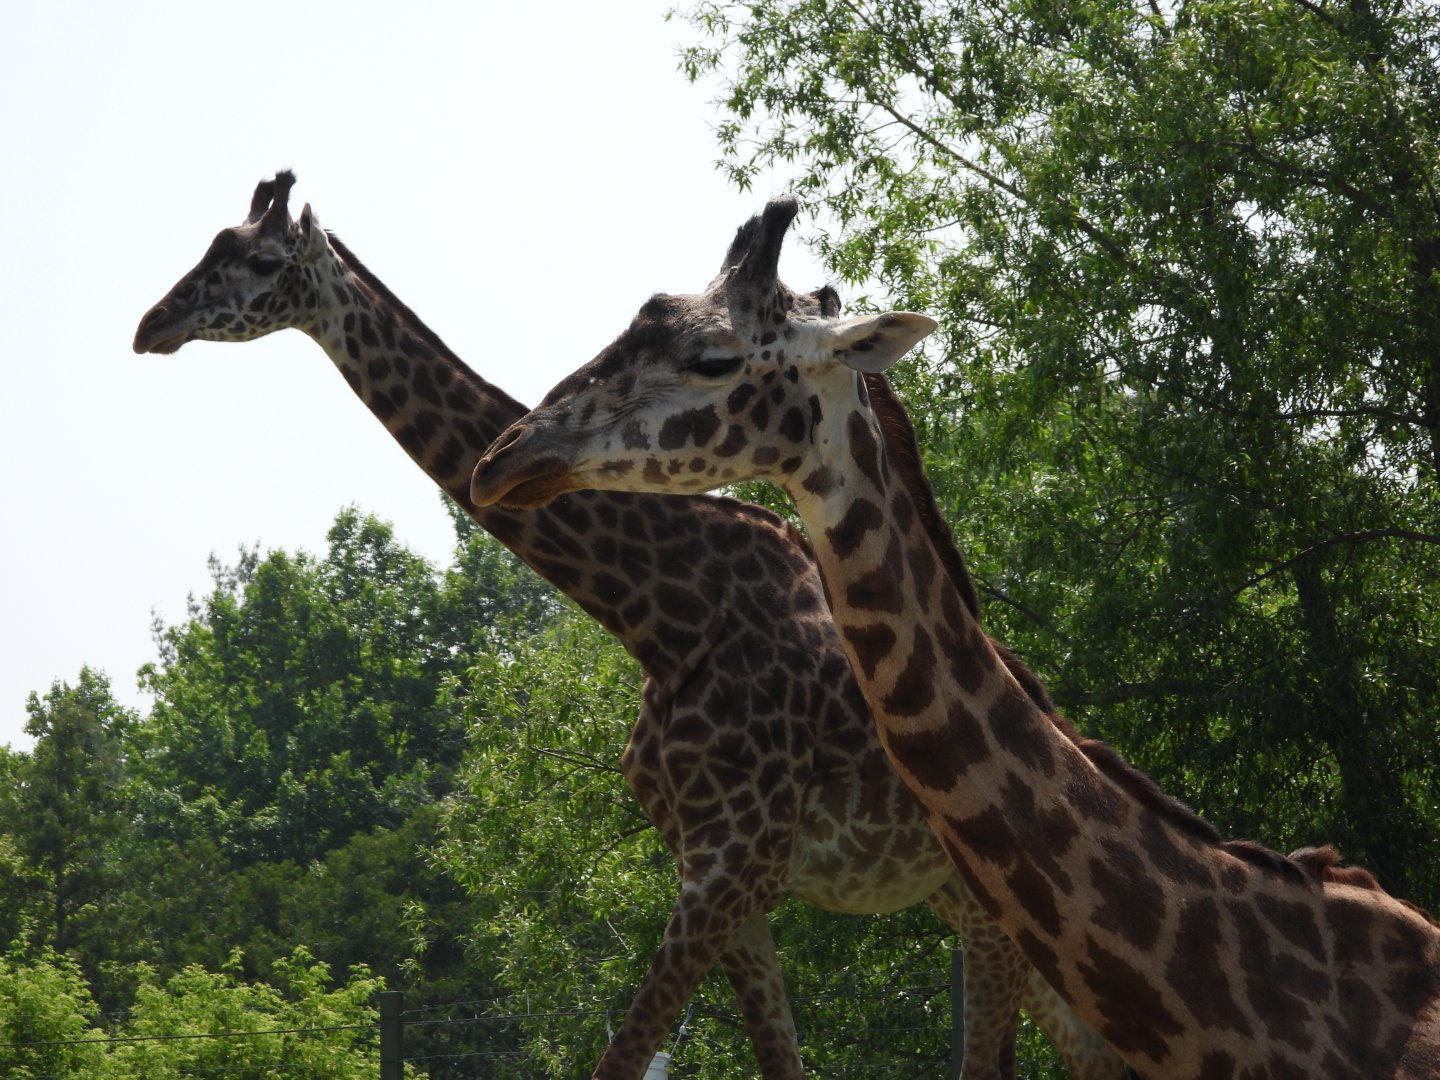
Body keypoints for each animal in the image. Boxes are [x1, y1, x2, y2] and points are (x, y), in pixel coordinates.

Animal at [133, 173, 1123, 1079]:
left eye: (261, 263)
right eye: (209, 244)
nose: (152, 324)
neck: (662, 613)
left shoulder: (732, 863)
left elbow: (626, 1057)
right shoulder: (719, 871)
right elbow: (774, 1059)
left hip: (990, 907)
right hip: (980, 910)